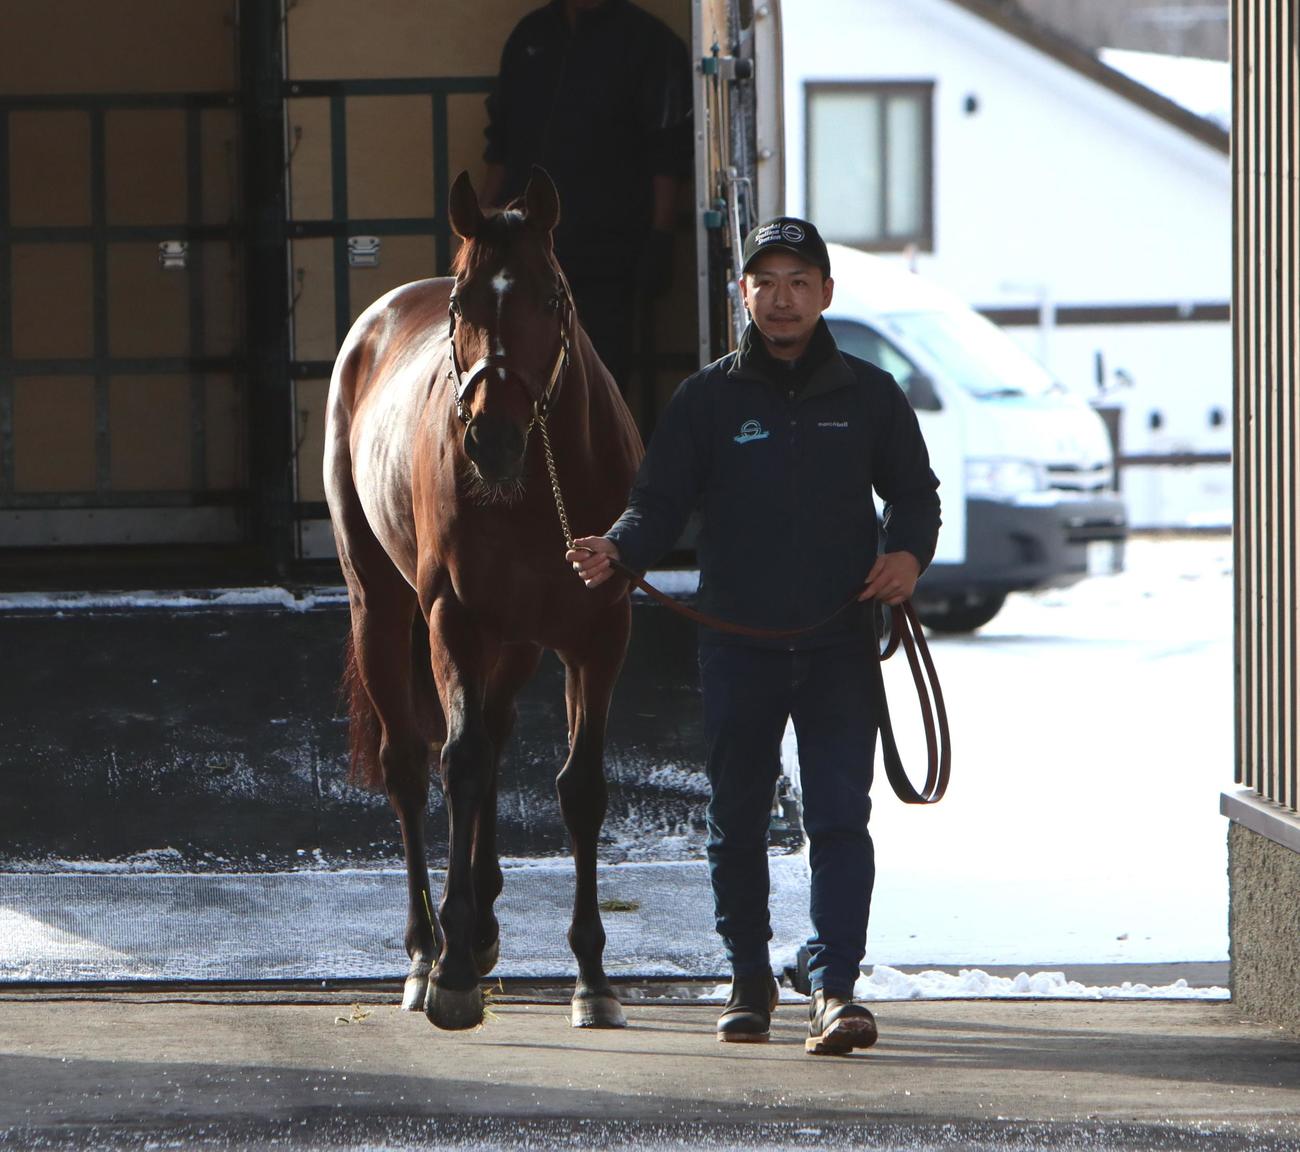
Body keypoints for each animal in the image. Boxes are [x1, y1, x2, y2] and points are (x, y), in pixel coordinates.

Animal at [323, 167, 644, 1031]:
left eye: (554, 297)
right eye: (463, 305)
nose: (490, 440)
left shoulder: (598, 633)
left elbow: (580, 786)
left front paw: (592, 976)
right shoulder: (455, 622)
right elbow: (458, 764)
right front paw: (454, 971)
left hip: (520, 642)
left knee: (493, 742)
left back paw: (484, 921)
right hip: (381, 608)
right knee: (411, 764)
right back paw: (425, 948)